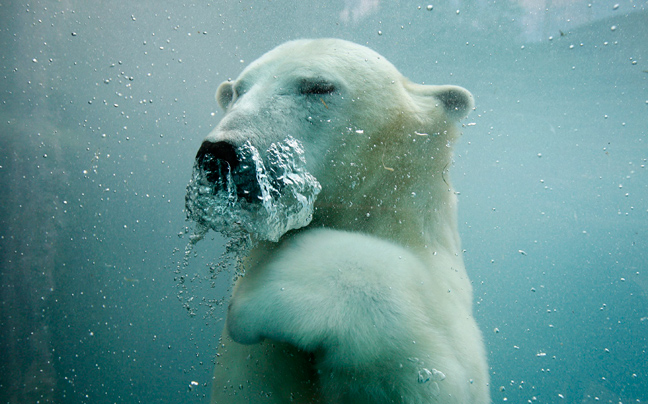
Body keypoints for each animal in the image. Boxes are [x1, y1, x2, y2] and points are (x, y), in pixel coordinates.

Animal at [187, 38, 492, 404]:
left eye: (318, 86)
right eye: (236, 91)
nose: (220, 153)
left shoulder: (445, 285)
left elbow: (443, 372)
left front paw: (259, 295)